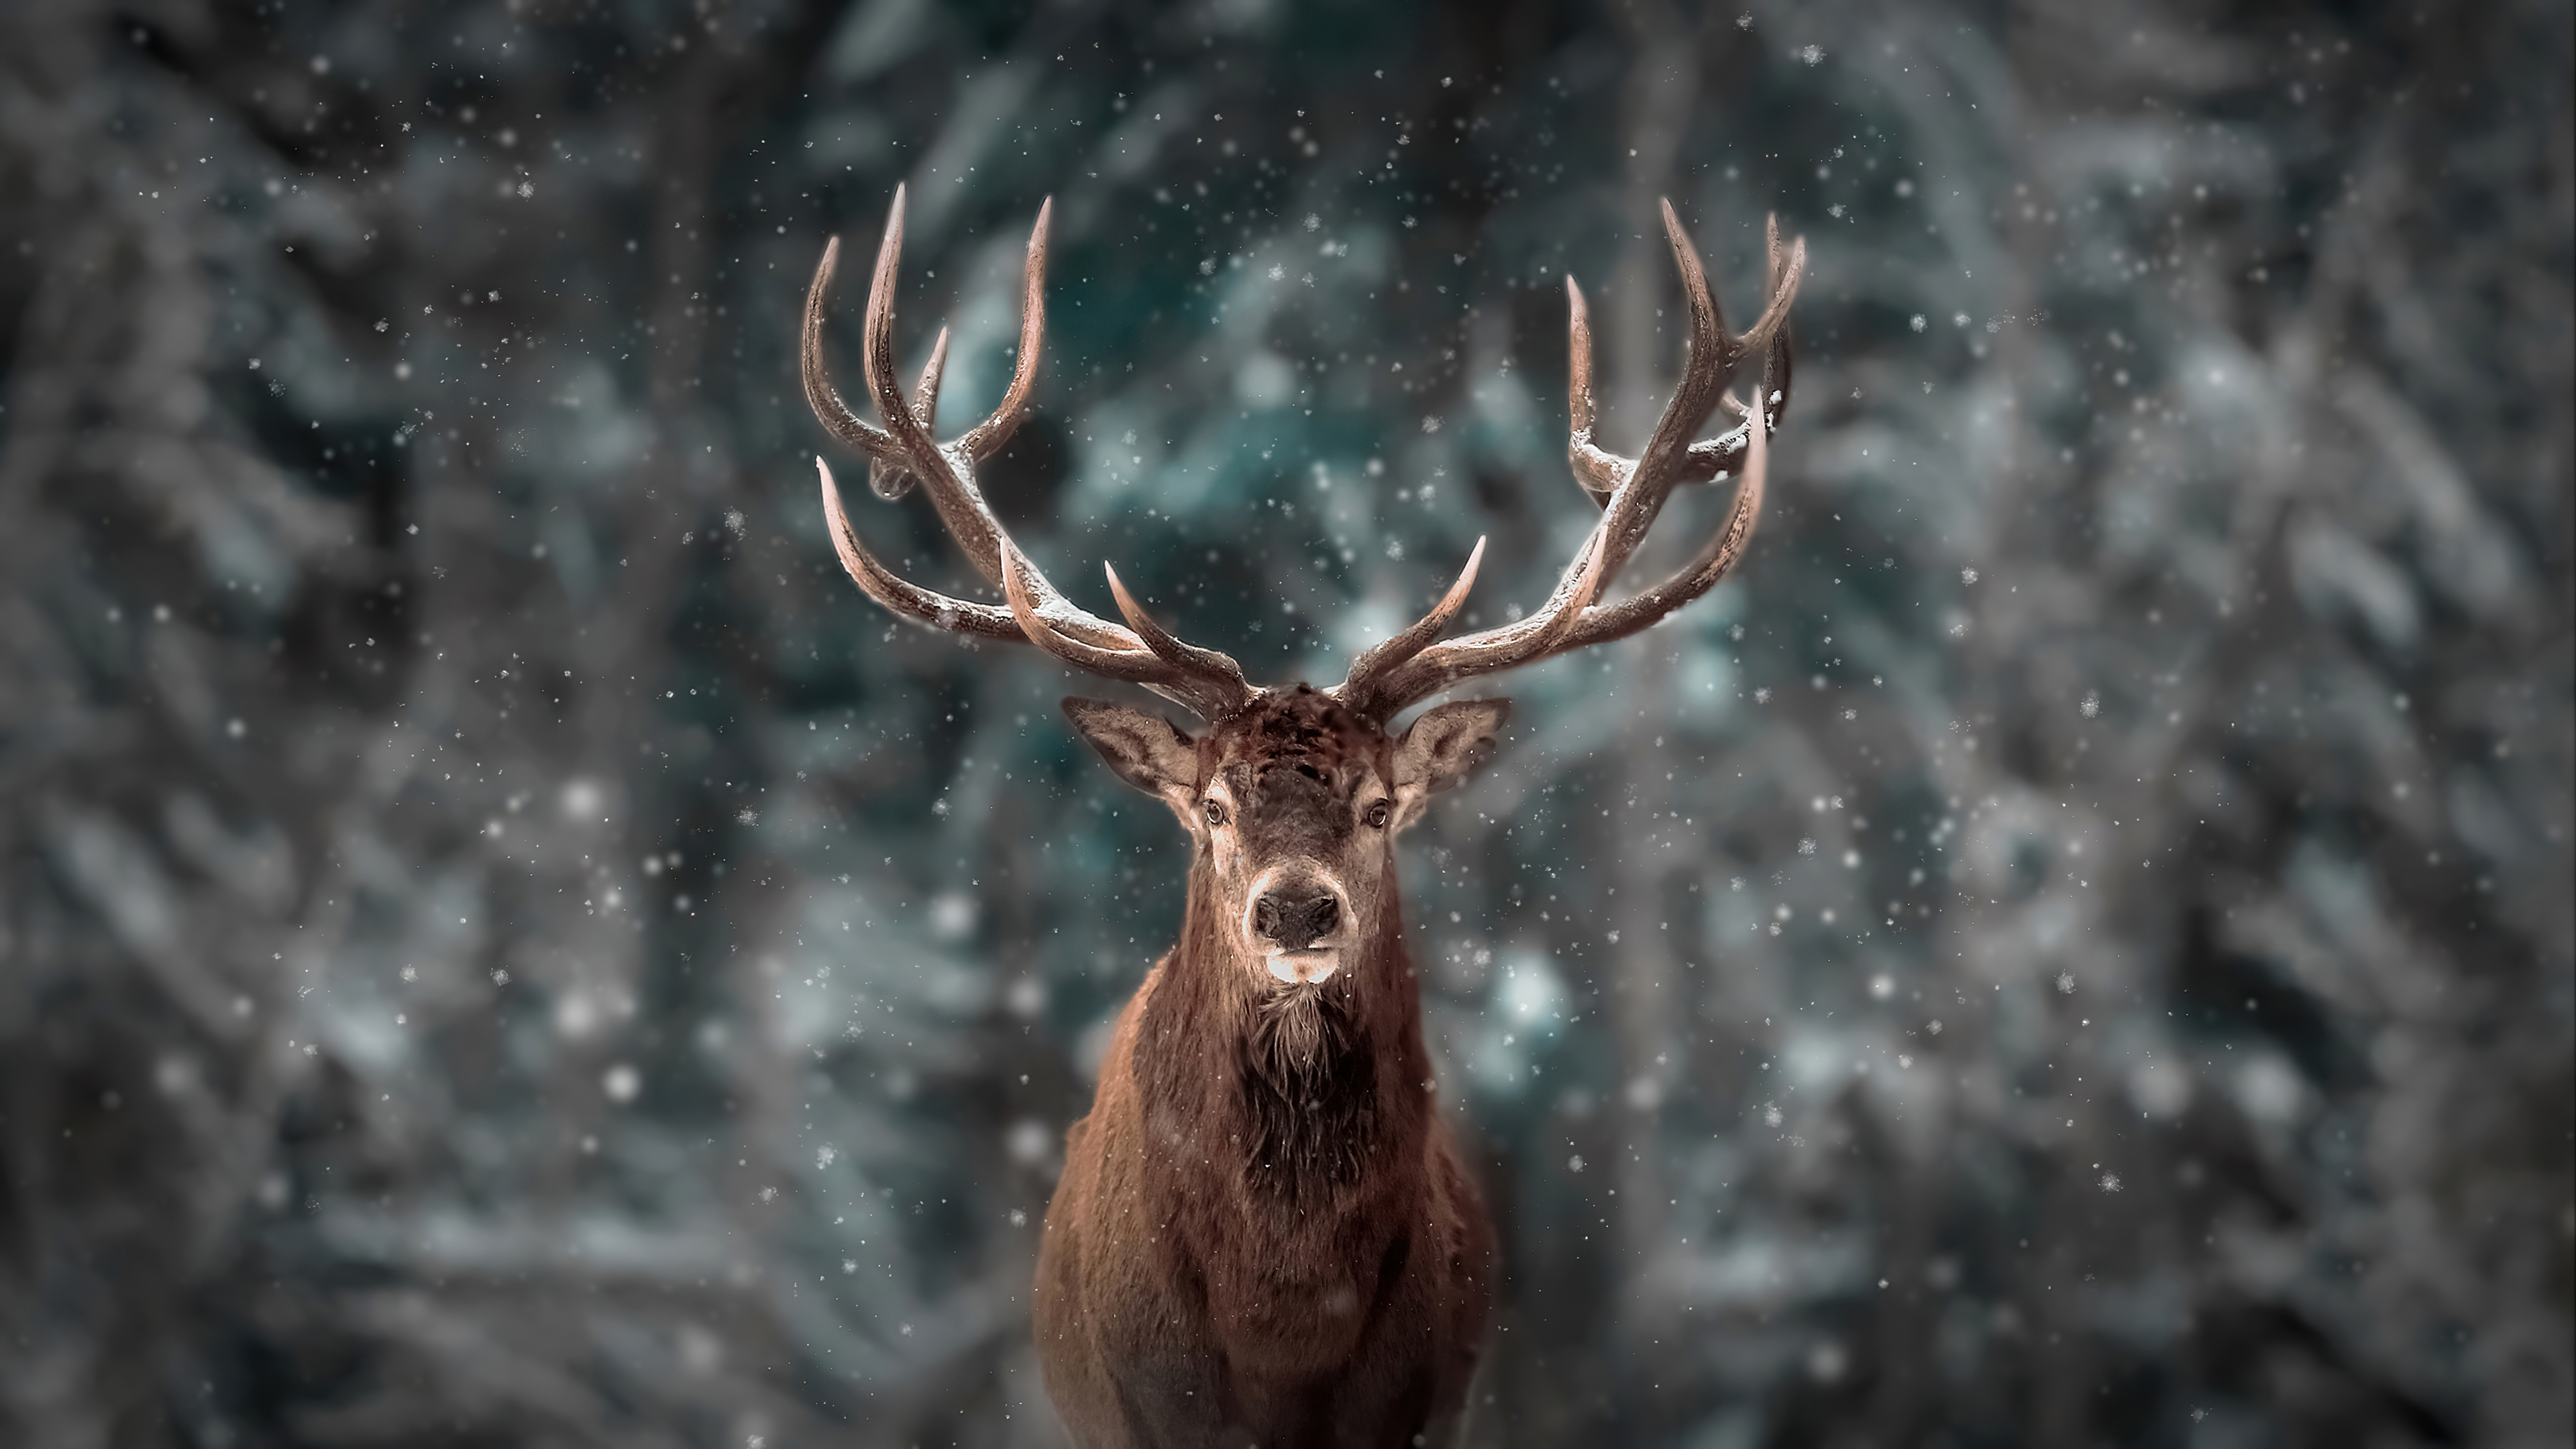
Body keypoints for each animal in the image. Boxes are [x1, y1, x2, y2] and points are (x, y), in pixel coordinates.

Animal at [799, 184, 1802, 1448]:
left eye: (1379, 806)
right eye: (1214, 805)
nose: (1295, 914)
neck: (1284, 1326)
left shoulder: (1422, 1407)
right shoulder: (1147, 1410)